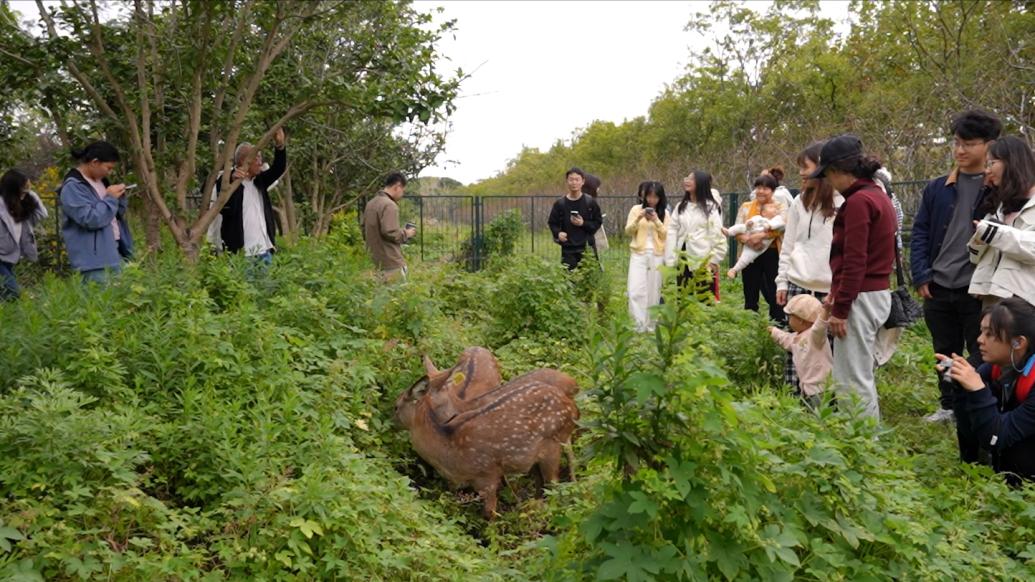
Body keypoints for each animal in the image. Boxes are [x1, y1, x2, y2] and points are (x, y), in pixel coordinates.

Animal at [393, 366, 579, 515]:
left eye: (396, 406)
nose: (390, 422)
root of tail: (574, 409)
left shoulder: (487, 475)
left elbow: (490, 513)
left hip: (554, 445)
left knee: (554, 484)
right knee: (542, 485)